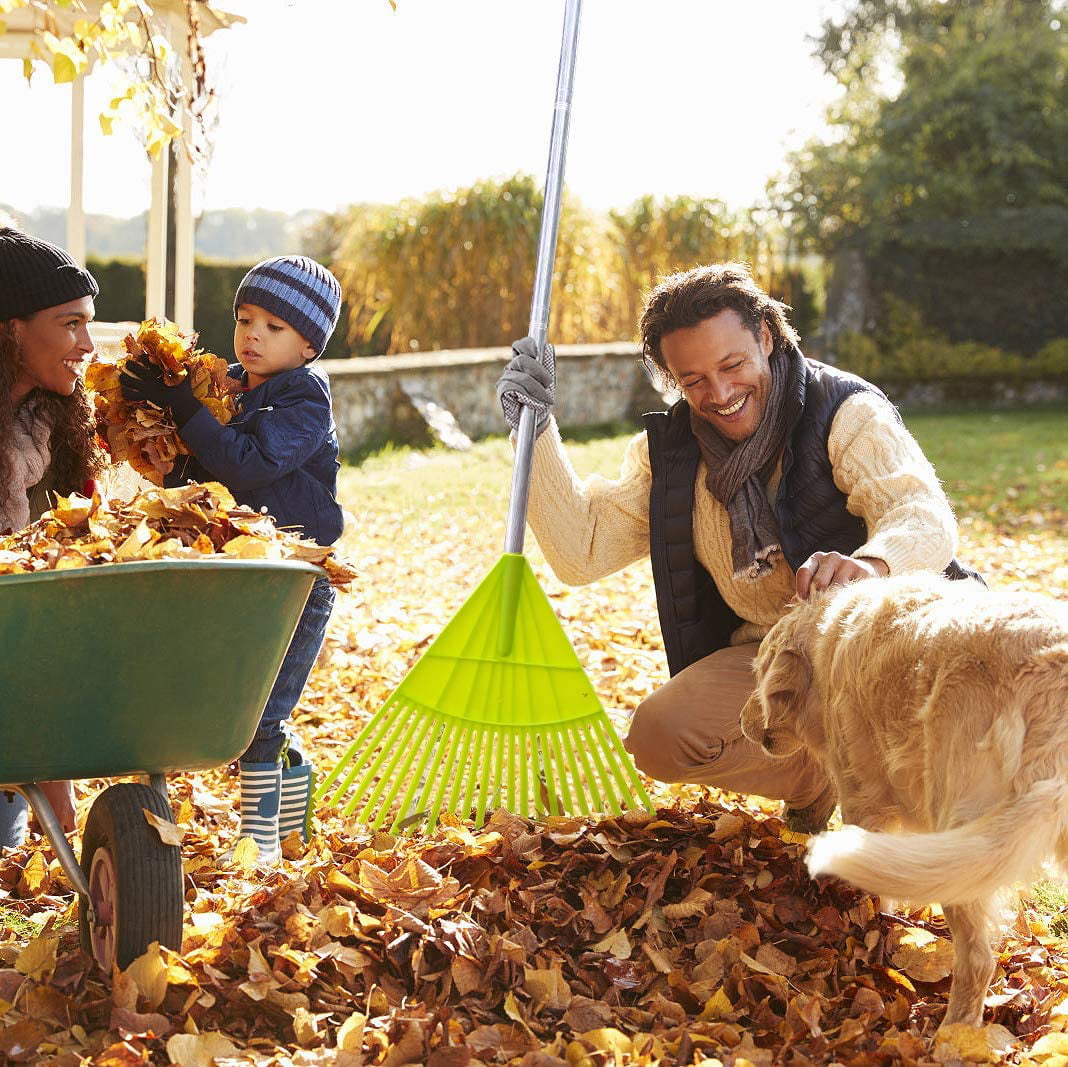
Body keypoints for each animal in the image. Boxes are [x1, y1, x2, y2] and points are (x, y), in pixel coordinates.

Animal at [743, 576, 1068, 1033]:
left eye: (757, 675)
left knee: (977, 960)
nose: (742, 724)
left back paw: (953, 1034)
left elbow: (874, 893)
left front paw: (869, 927)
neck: (828, 640)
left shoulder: (863, 803)